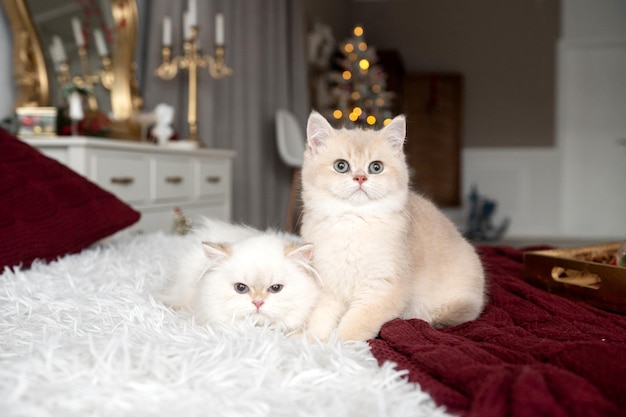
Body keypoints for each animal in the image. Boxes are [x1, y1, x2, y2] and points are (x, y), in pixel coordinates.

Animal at [300, 111, 486, 342]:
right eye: (341, 166)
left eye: (376, 167)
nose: (360, 178)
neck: (354, 222)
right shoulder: (329, 286)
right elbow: (319, 319)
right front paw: (310, 344)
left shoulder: (384, 288)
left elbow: (354, 325)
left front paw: (340, 346)